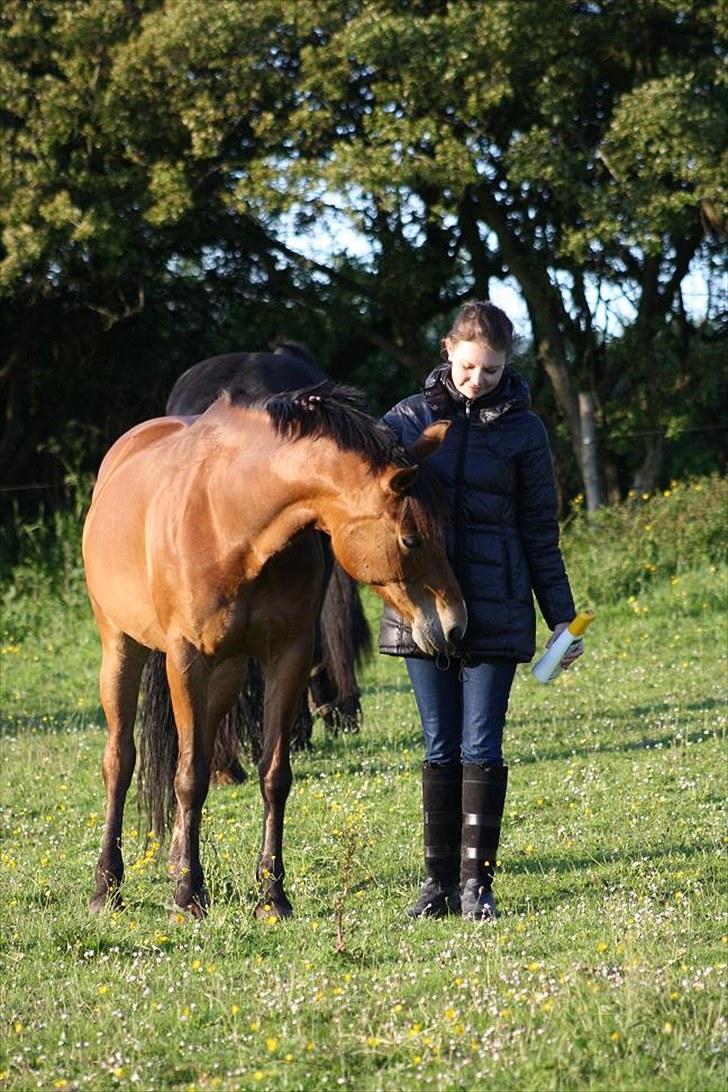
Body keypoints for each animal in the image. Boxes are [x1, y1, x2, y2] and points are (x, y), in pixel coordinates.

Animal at [81, 388, 467, 917]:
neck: (232, 517)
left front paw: (271, 895)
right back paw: (107, 886)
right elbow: (188, 778)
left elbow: (272, 776)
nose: (455, 625)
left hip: (225, 674)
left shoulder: (289, 657)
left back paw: (177, 864)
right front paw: (188, 895)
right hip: (122, 648)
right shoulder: (186, 659)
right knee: (120, 763)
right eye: (411, 538)